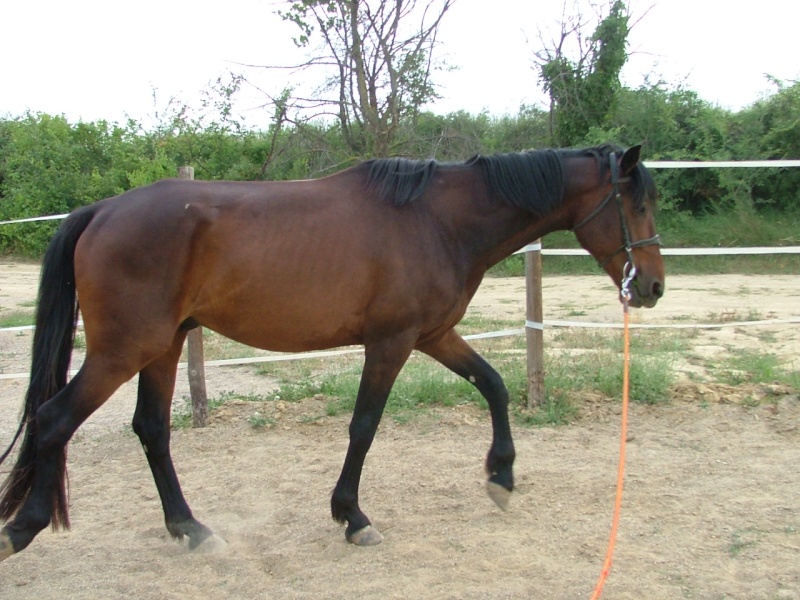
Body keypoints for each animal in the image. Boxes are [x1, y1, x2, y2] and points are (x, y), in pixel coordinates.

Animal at [0, 143, 664, 560]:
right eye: (636, 204)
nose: (653, 288)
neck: (437, 220)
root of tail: (101, 210)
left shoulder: (433, 335)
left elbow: (494, 385)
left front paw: (500, 475)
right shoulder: (392, 342)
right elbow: (364, 427)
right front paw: (353, 517)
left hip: (163, 347)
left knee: (151, 430)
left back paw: (191, 529)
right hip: (124, 350)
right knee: (54, 419)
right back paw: (24, 528)